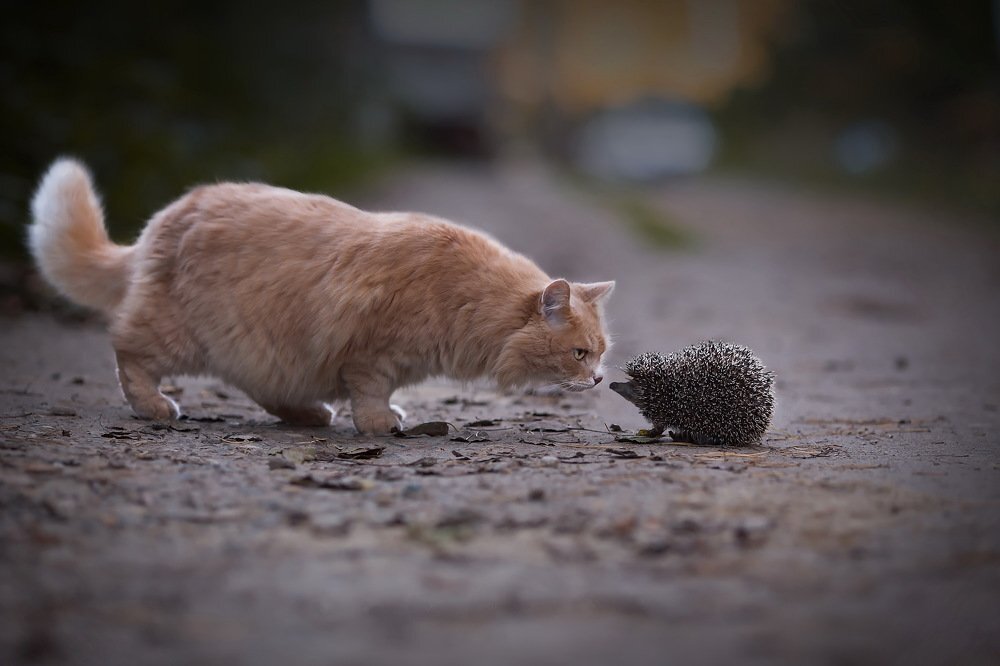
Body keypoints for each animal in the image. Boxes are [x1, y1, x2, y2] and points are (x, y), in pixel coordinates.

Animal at [27, 158, 612, 434]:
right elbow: (371, 393)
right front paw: (380, 423)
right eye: (579, 353)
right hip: (179, 335)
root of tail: (167, 217)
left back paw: (311, 414)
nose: (600, 380)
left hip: (257, 347)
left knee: (264, 389)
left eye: (601, 352)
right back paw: (154, 407)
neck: (463, 296)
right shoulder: (372, 354)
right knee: (127, 350)